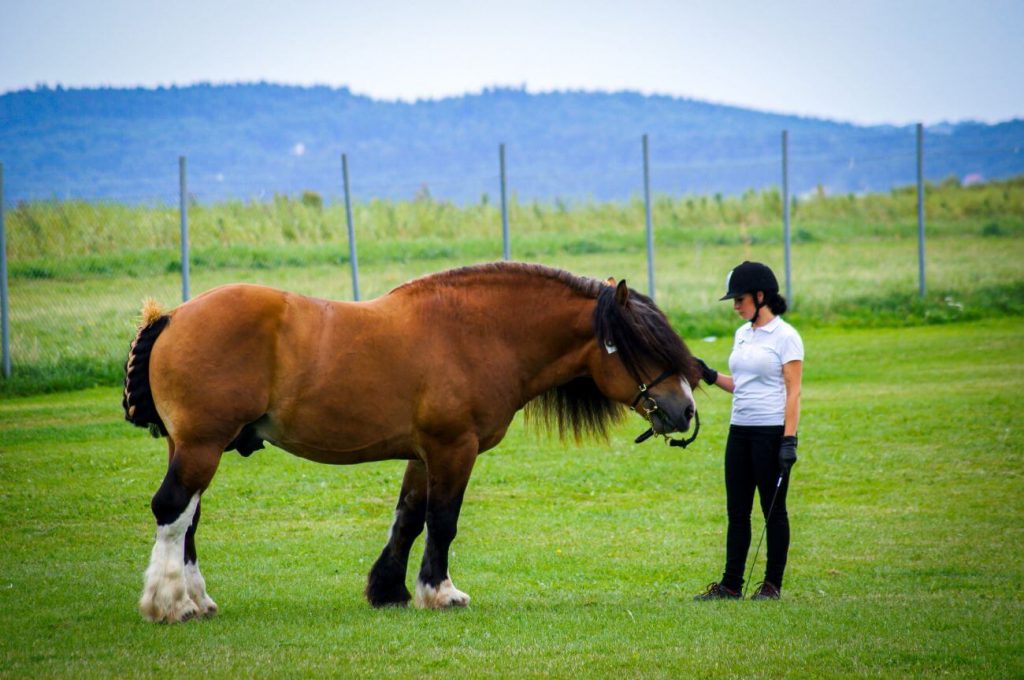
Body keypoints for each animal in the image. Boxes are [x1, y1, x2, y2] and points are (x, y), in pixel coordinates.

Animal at [117, 260, 696, 622]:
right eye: (642, 345)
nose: (685, 409)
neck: (476, 332)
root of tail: (172, 316)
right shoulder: (453, 448)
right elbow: (442, 521)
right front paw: (440, 592)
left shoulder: (424, 454)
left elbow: (409, 518)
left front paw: (389, 590)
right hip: (201, 445)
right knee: (172, 510)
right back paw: (171, 605)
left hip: (190, 446)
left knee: (188, 518)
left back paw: (196, 599)